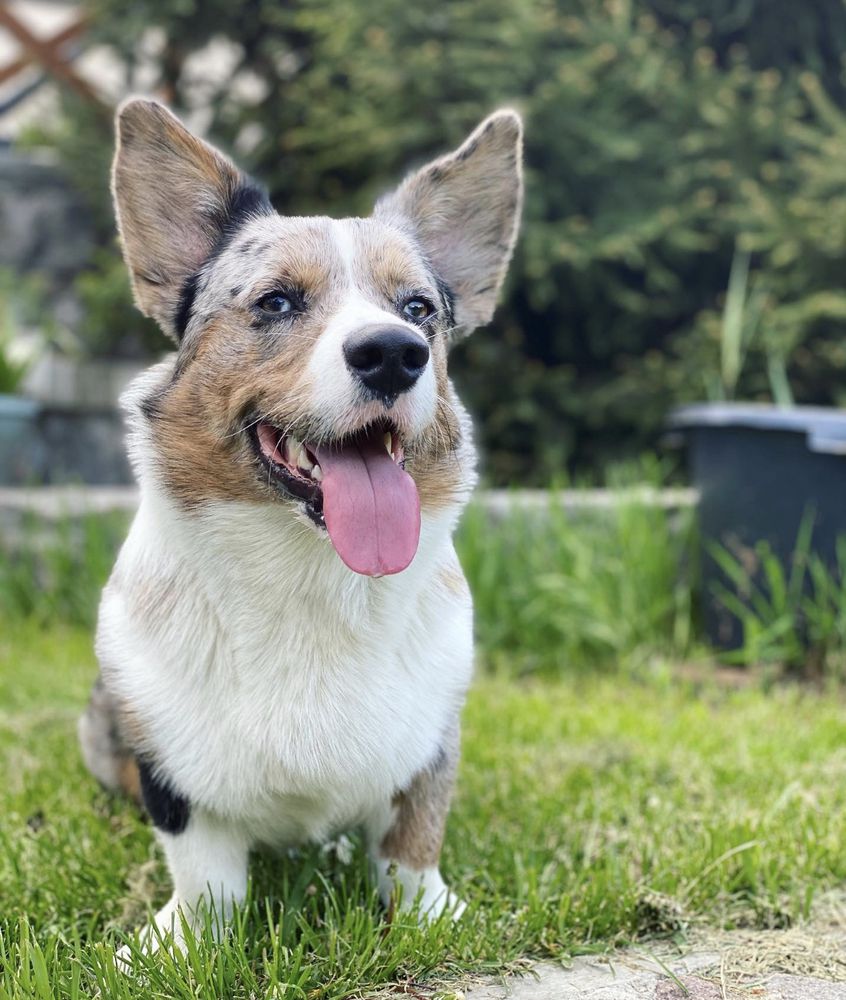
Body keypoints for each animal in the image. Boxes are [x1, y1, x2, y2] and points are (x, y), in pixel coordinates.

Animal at [78, 95, 524, 952]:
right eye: (277, 301)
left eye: (418, 309)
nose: (395, 353)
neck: (314, 572)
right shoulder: (174, 773)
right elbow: (207, 876)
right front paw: (180, 946)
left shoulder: (431, 742)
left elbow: (413, 839)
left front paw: (430, 915)